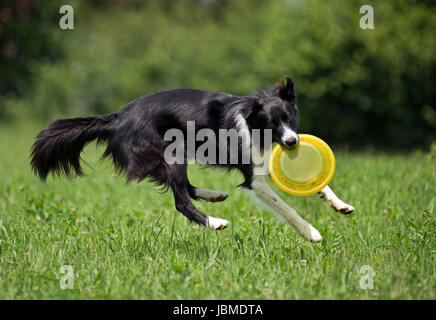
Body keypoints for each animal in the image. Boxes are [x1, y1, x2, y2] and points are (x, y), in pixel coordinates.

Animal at [32, 77, 356, 242]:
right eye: (271, 124)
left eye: (290, 118)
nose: (291, 142)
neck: (252, 122)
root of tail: (117, 117)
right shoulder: (255, 180)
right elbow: (286, 207)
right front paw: (311, 232)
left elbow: (318, 183)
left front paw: (340, 204)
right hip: (170, 152)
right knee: (181, 200)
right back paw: (214, 222)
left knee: (185, 187)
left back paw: (214, 196)